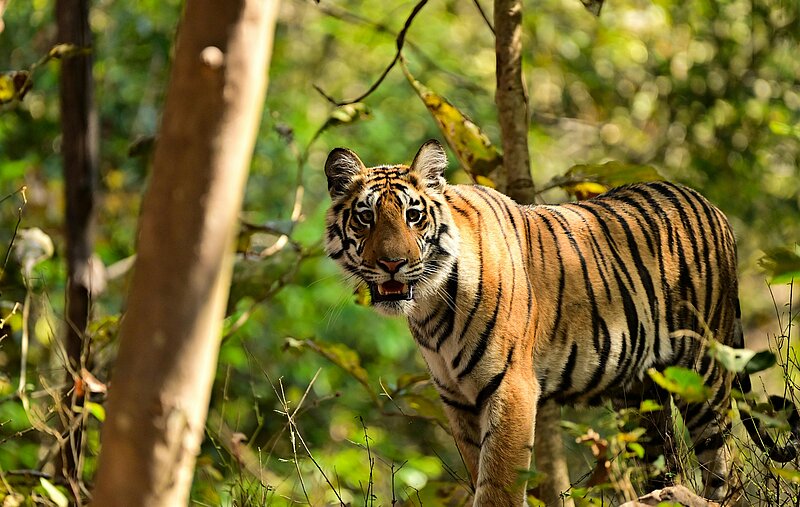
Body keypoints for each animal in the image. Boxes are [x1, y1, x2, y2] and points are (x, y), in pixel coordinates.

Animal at [323, 139, 799, 506]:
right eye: (365, 217)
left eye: (413, 215)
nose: (392, 264)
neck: (429, 307)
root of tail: (712, 206)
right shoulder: (457, 399)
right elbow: (479, 471)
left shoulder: (511, 388)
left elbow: (497, 486)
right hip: (640, 397)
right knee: (666, 464)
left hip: (702, 375)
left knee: (725, 470)